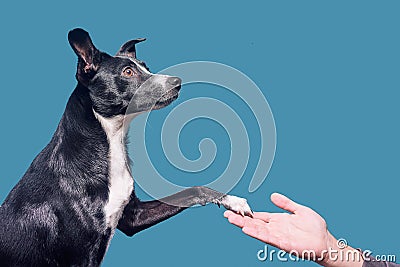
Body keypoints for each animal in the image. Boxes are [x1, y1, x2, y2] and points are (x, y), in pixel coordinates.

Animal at [0, 28, 252, 266]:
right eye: (127, 72)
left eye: (146, 67)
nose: (177, 81)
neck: (110, 141)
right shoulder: (80, 254)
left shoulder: (133, 216)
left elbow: (194, 190)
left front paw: (232, 200)